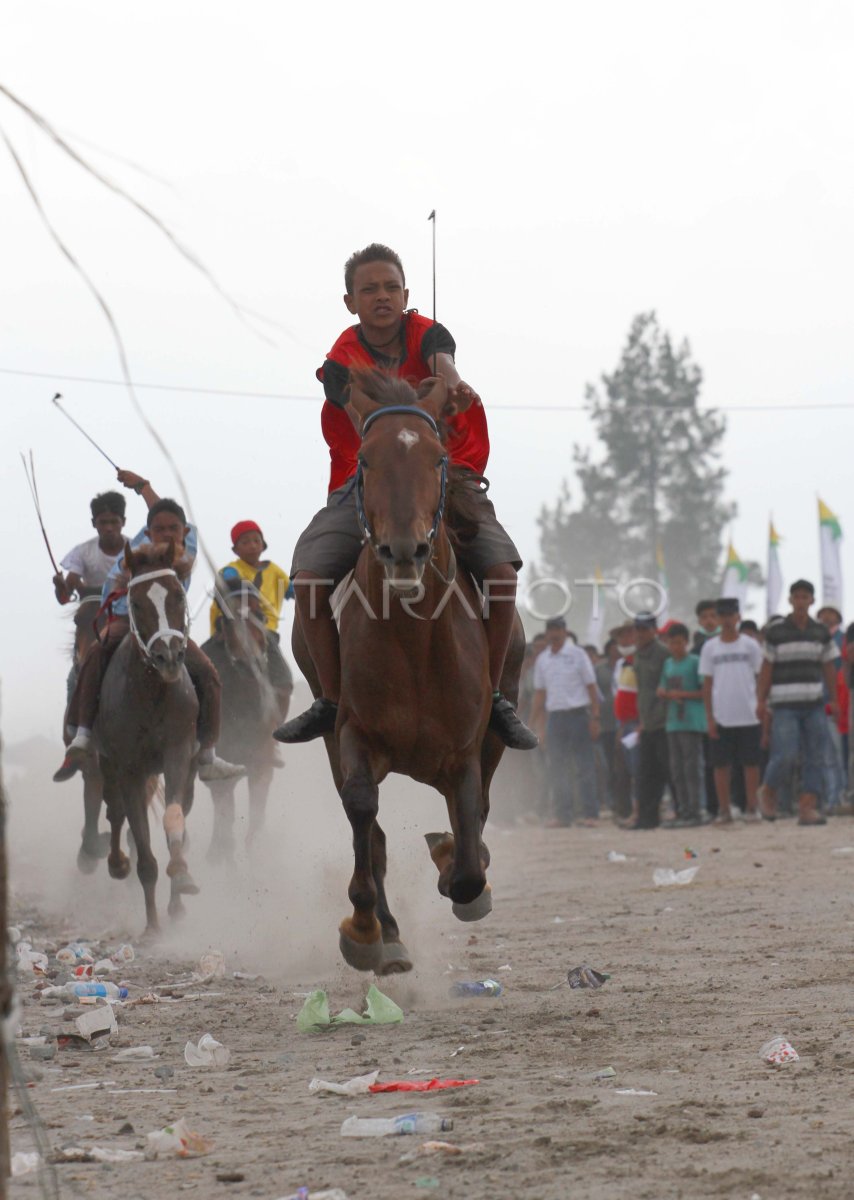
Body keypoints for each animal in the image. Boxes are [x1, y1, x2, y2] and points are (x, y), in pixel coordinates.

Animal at [95, 540, 199, 931]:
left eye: (178, 596)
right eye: (136, 603)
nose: (169, 657)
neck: (151, 692)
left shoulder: (177, 754)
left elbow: (174, 817)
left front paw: (181, 874)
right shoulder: (129, 770)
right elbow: (143, 850)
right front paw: (153, 927)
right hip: (107, 765)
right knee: (114, 811)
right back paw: (117, 863)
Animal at [290, 372, 522, 974]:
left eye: (439, 457)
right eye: (364, 460)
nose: (403, 551)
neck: (415, 641)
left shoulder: (466, 751)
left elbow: (469, 860)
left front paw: (454, 862)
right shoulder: (352, 735)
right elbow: (364, 816)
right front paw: (367, 929)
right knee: (369, 827)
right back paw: (389, 933)